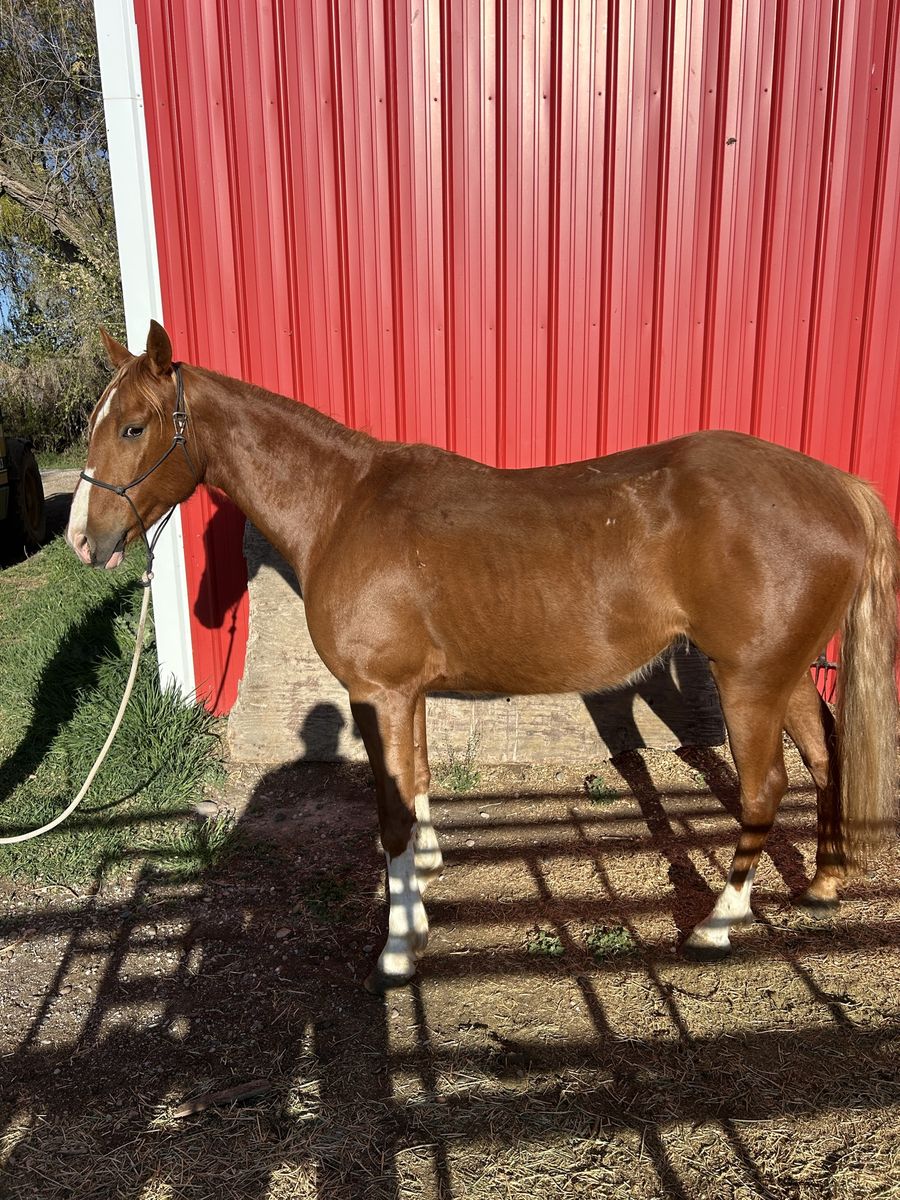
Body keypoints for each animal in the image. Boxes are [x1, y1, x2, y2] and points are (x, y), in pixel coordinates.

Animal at [67, 321, 899, 991]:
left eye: (134, 428)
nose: (83, 540)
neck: (344, 505)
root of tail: (835, 485)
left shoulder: (379, 693)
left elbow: (391, 813)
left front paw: (398, 950)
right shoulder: (404, 694)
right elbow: (417, 786)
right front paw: (424, 882)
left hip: (749, 680)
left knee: (764, 789)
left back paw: (717, 925)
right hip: (783, 673)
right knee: (824, 755)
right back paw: (823, 882)